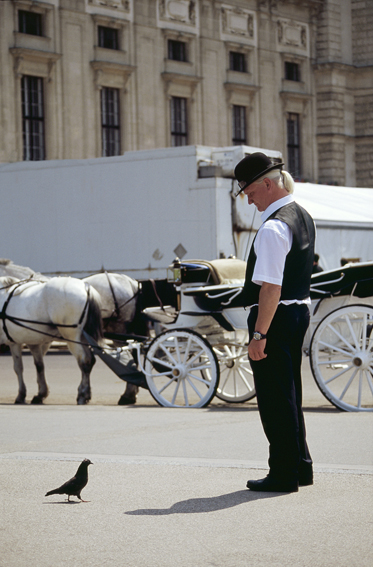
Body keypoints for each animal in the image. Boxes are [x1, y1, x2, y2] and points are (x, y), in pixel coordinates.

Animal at [0, 278, 102, 406]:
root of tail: (85, 287)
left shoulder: (14, 342)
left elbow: (18, 368)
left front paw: (21, 395)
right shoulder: (34, 342)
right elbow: (39, 366)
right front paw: (41, 394)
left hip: (71, 336)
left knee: (84, 361)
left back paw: (82, 394)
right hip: (82, 337)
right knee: (90, 360)